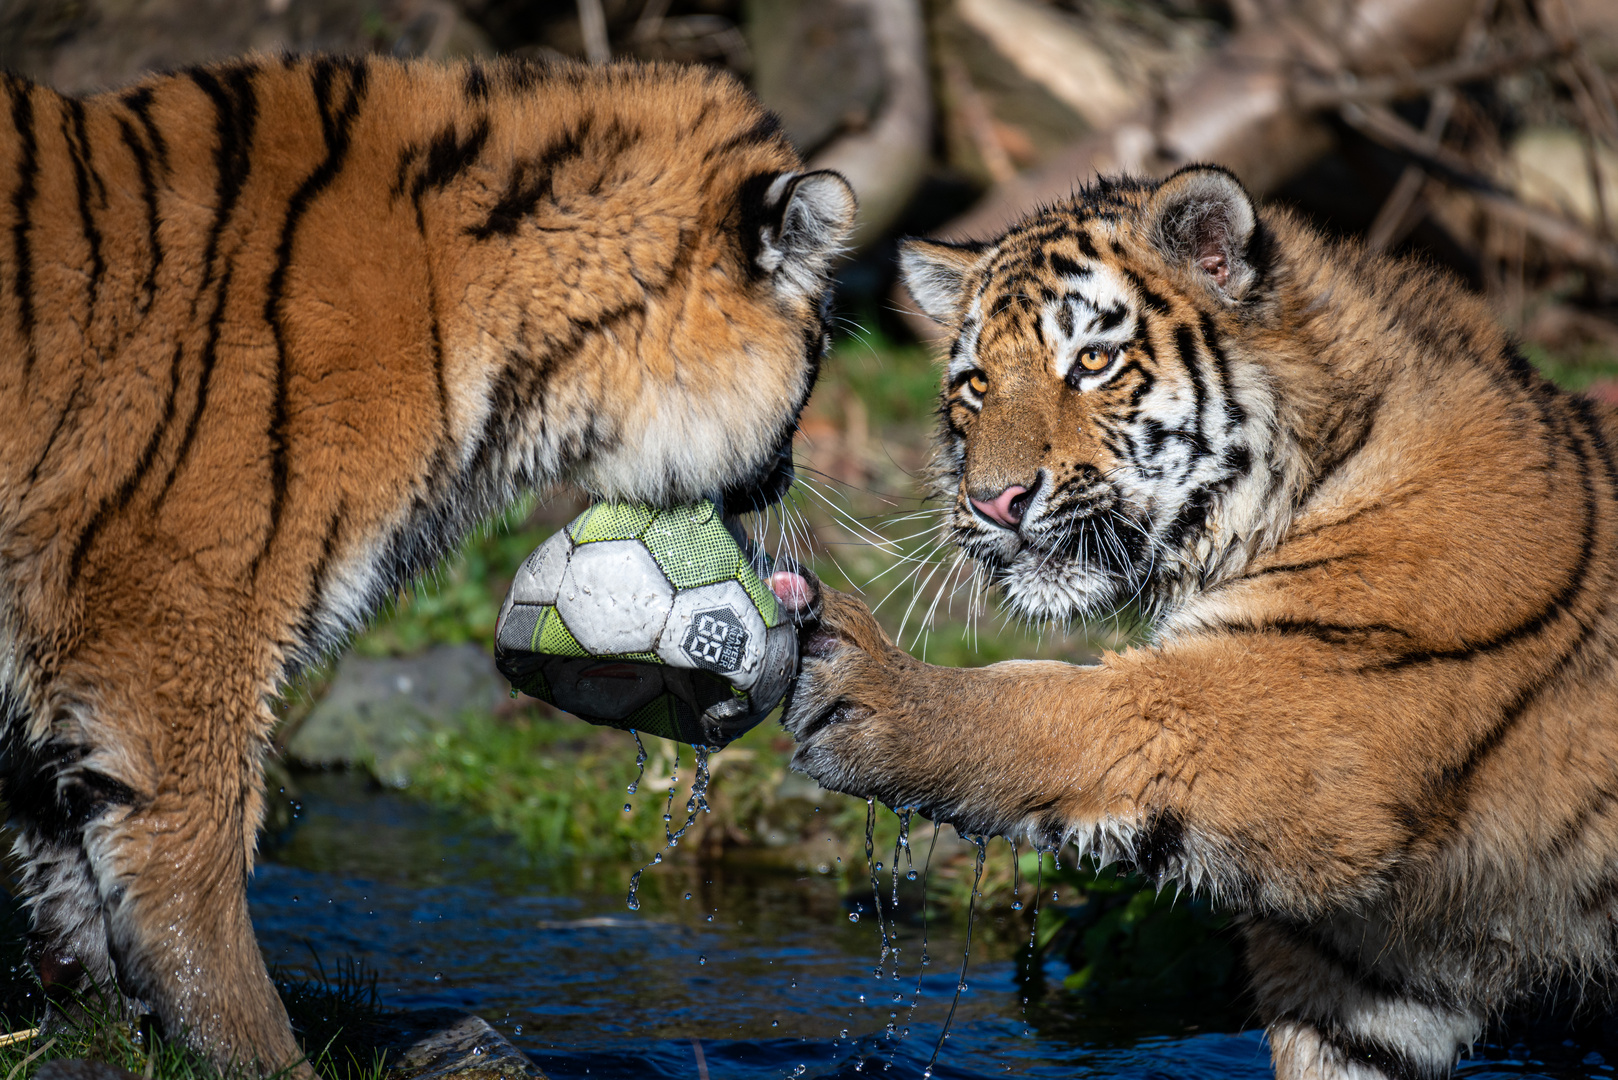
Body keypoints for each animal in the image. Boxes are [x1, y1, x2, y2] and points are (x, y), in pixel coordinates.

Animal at [0, 55, 860, 1075]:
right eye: (817, 351)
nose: (787, 477)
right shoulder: (174, 616)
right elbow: (190, 868)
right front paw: (258, 1054)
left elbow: (65, 852)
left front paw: (90, 1019)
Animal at [779, 162, 1618, 1080]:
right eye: (976, 384)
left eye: (1094, 361)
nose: (993, 502)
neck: (1320, 461)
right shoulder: (1373, 981)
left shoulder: (1286, 708)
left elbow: (1046, 710)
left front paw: (863, 682)